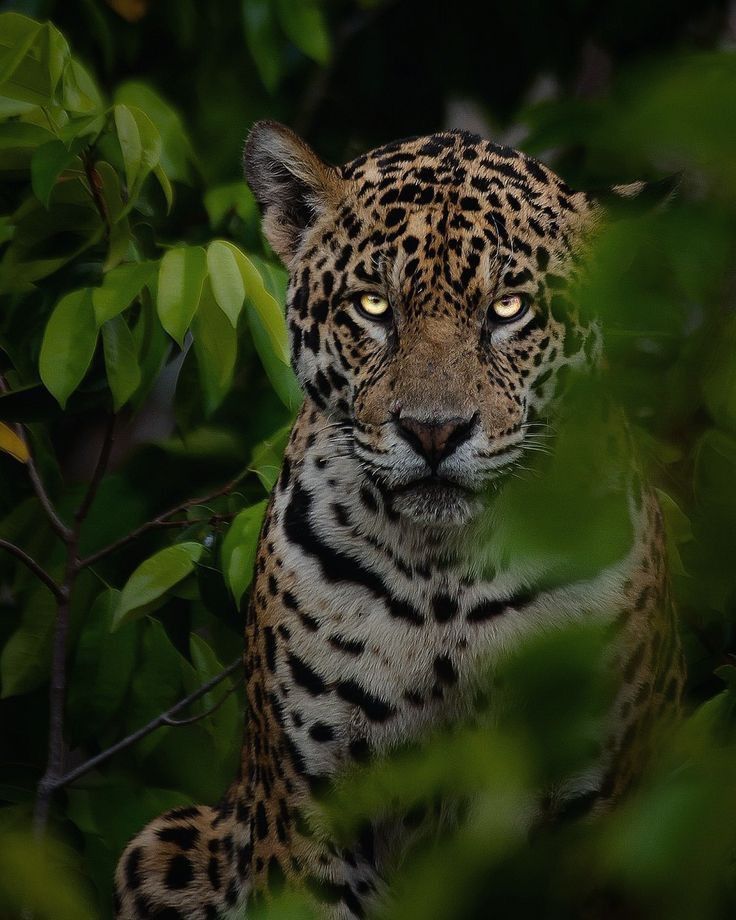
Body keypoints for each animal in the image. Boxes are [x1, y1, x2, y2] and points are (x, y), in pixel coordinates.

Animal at [114, 122, 684, 919]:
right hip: (164, 846)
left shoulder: (602, 805)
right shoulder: (311, 817)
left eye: (508, 310)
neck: (447, 574)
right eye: (374, 307)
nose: (434, 431)